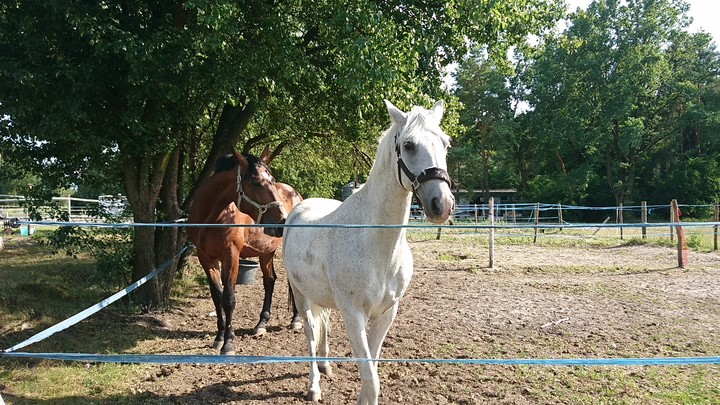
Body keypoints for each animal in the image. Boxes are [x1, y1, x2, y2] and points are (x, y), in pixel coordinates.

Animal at [187, 147, 288, 355]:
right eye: (256, 182)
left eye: (272, 180)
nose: (281, 220)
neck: (212, 218)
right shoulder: (205, 257)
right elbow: (217, 295)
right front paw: (219, 338)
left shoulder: (231, 256)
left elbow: (229, 298)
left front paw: (228, 343)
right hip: (266, 252)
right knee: (270, 281)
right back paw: (261, 324)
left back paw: (296, 321)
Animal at [282, 100, 455, 404]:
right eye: (409, 145)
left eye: (445, 143)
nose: (441, 204)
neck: (377, 247)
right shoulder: (354, 316)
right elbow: (371, 380)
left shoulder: (386, 314)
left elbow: (371, 370)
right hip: (301, 295)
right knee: (311, 333)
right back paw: (314, 385)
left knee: (323, 324)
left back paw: (326, 366)